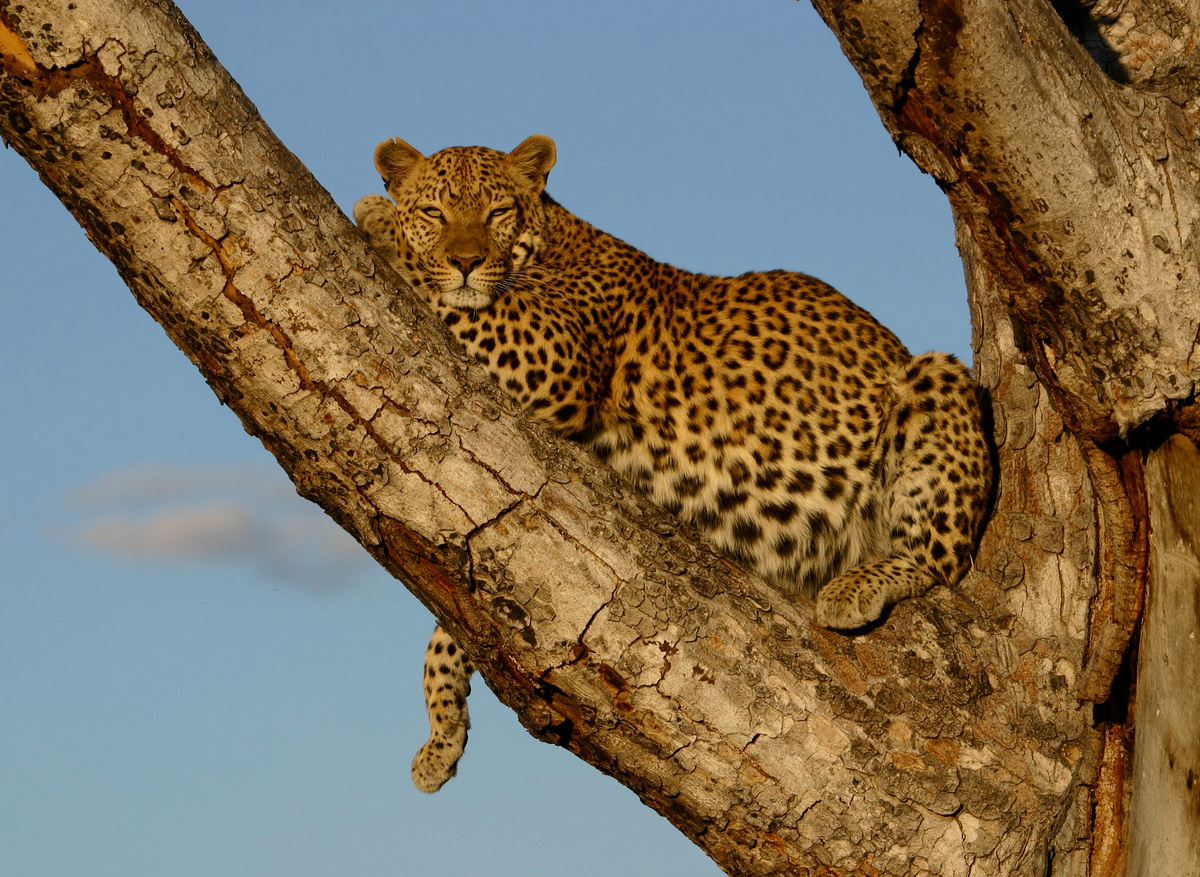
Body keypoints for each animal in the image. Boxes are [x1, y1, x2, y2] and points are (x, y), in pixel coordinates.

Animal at [353, 135, 993, 793]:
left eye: (498, 211)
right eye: (436, 213)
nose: (465, 261)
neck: (553, 236)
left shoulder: (551, 357)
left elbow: (453, 295)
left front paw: (375, 217)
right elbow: (458, 601)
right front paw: (441, 736)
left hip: (934, 377)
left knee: (941, 558)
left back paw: (858, 585)